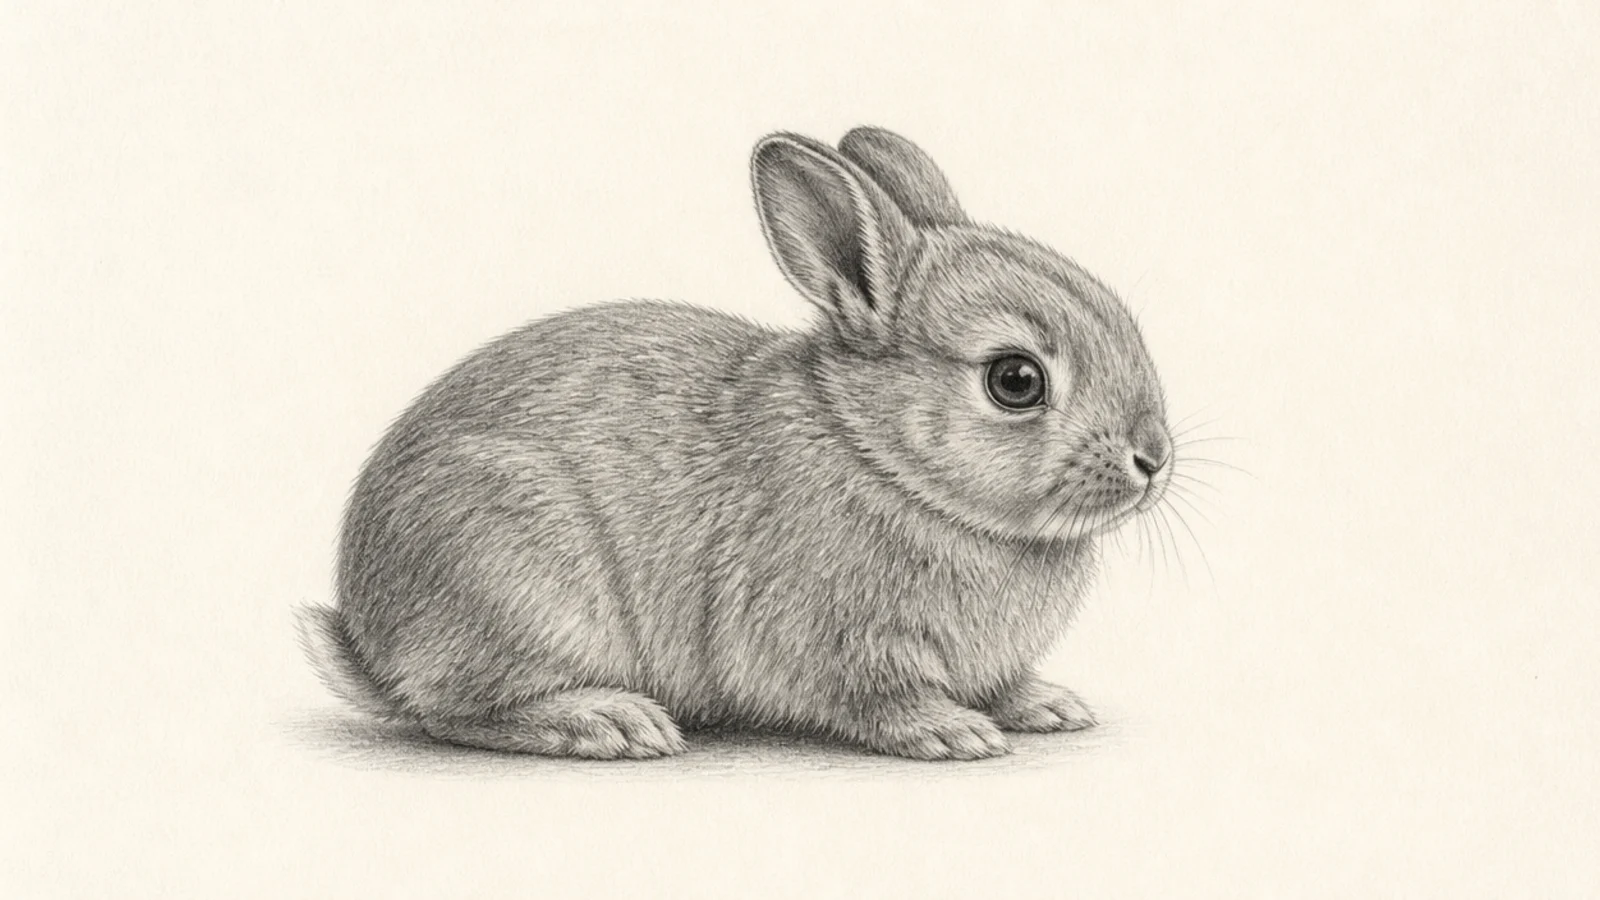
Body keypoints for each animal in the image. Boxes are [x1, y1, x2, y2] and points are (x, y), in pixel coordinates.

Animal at [295, 126, 1175, 761]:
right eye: (1015, 381)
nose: (1154, 459)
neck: (882, 458)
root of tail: (370, 640)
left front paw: (1047, 706)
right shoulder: (840, 640)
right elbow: (881, 699)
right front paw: (952, 732)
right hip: (514, 574)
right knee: (453, 711)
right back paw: (608, 723)